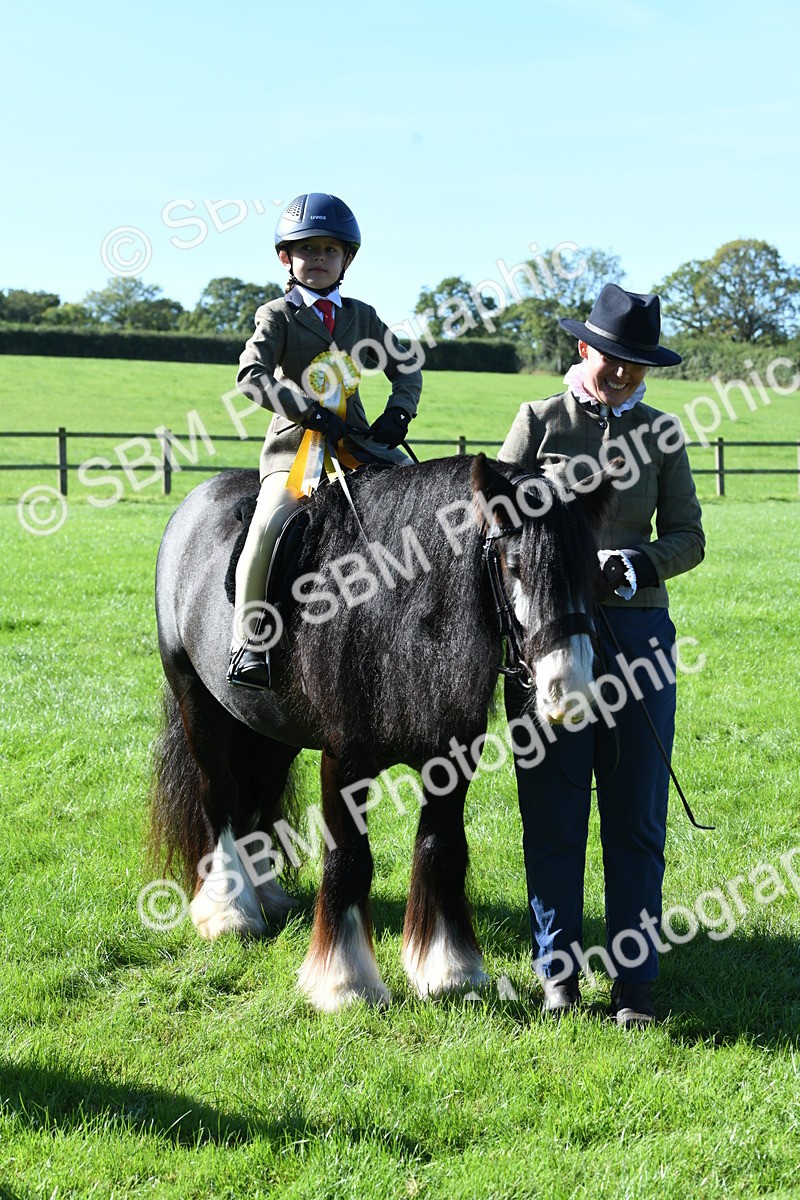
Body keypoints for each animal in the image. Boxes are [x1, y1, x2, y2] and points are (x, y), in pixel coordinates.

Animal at [150, 452, 615, 1011]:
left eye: (589, 574)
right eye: (515, 565)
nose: (571, 688)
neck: (394, 613)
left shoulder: (452, 758)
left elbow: (442, 847)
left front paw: (449, 968)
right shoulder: (344, 761)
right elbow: (350, 857)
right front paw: (345, 980)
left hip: (271, 731)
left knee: (254, 797)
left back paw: (261, 894)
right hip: (198, 703)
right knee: (219, 794)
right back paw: (229, 911)